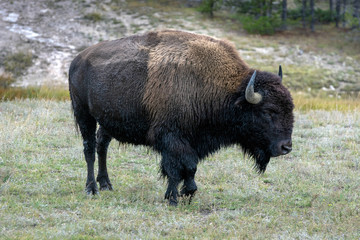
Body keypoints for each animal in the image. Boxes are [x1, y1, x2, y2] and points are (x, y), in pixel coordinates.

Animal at [69, 29, 294, 206]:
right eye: (268, 111)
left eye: (290, 107)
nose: (286, 147)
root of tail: (77, 59)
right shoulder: (171, 139)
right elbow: (178, 168)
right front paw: (174, 198)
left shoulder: (191, 141)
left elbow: (189, 168)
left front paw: (188, 192)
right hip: (84, 114)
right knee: (89, 148)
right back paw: (91, 189)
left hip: (106, 120)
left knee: (102, 145)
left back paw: (106, 184)